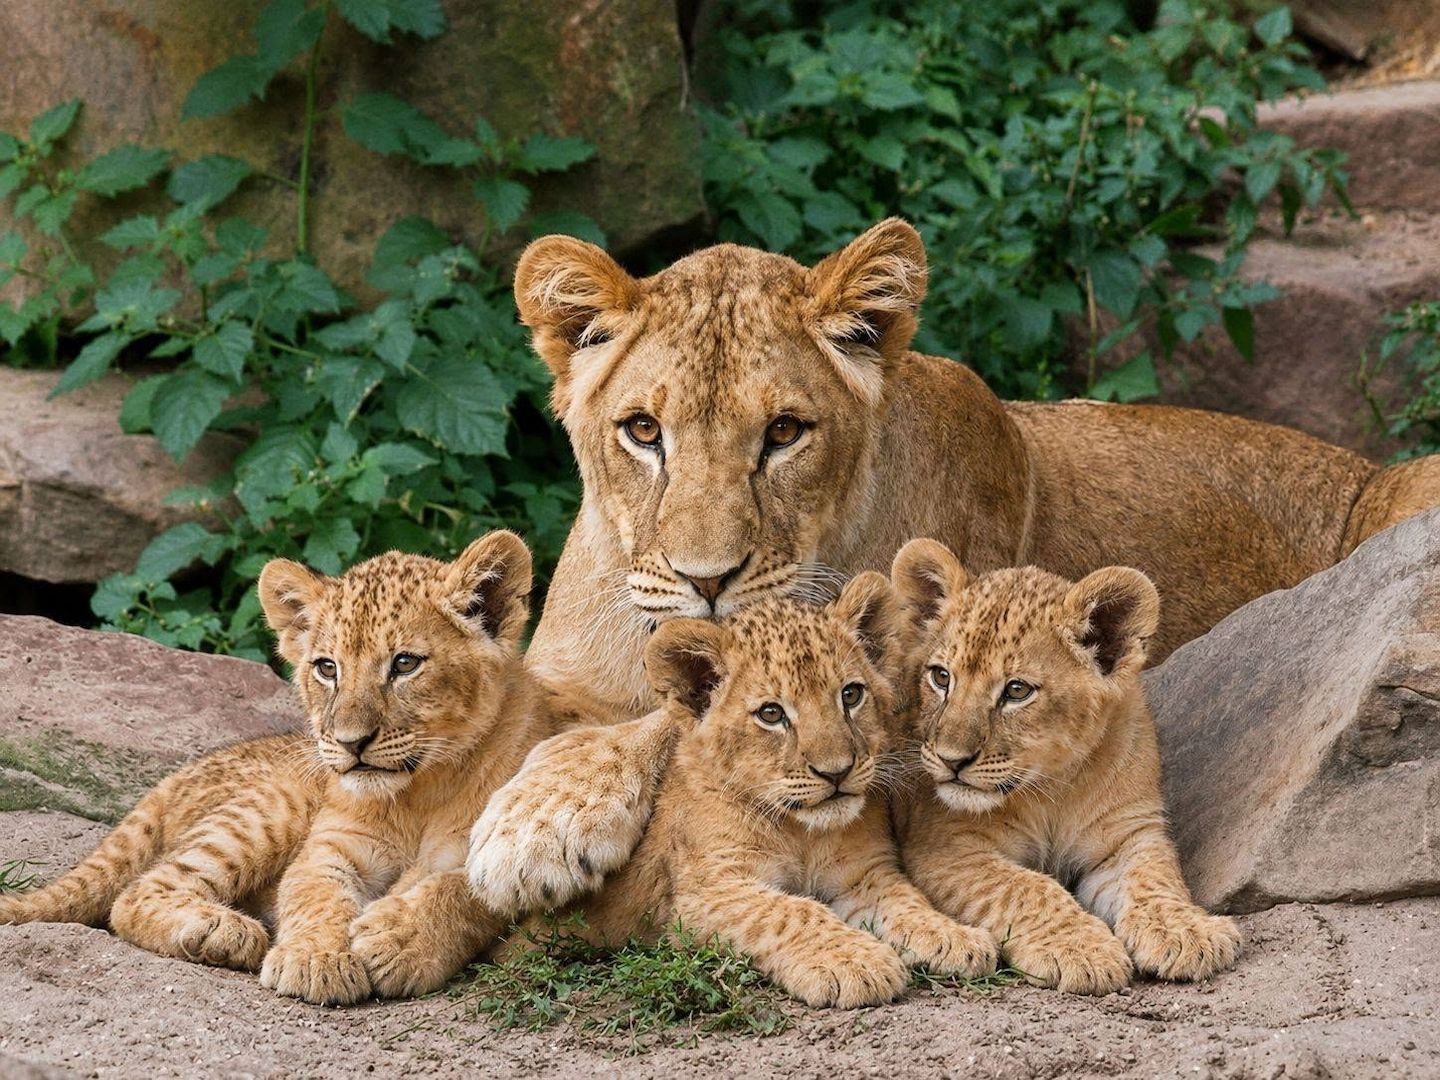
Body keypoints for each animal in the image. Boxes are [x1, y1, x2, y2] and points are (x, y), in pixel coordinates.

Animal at [889, 538, 1241, 995]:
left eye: (1016, 690)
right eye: (941, 677)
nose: (951, 760)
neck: (1053, 786)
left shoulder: (1128, 833)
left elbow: (1155, 875)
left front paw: (1186, 932)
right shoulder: (943, 845)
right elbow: (1026, 887)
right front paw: (1081, 949)